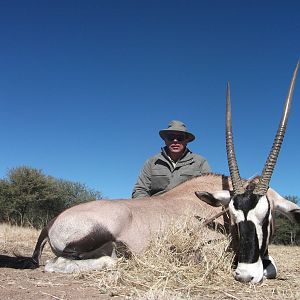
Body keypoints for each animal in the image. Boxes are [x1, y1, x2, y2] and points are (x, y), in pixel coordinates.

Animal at [0, 63, 298, 284]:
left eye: (266, 216)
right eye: (233, 217)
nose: (246, 275)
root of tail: (51, 222)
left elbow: (271, 267)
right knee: (59, 263)